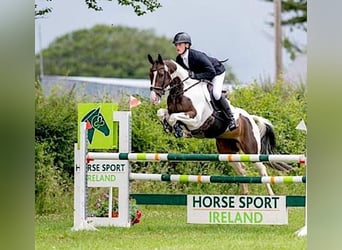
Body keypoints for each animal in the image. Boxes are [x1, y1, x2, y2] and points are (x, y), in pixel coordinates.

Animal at [148, 54, 294, 195]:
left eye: (161, 73)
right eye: (150, 74)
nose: (153, 99)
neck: (182, 91)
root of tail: (250, 118)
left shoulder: (197, 119)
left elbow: (174, 118)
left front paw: (179, 131)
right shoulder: (173, 112)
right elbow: (162, 113)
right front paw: (169, 127)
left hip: (251, 151)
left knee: (262, 170)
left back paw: (271, 195)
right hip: (227, 151)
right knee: (241, 169)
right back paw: (244, 194)